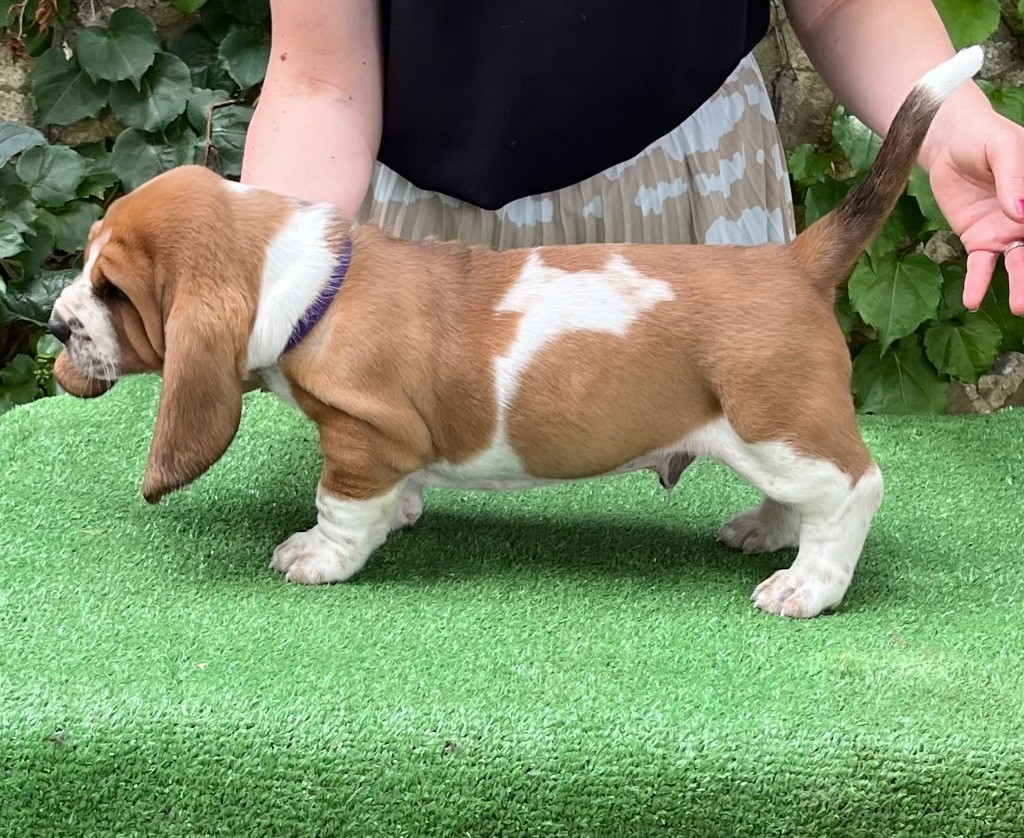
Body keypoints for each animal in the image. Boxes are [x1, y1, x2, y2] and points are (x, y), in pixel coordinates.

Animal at [49, 48, 983, 617]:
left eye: (112, 288)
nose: (55, 324)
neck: (313, 281)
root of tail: (794, 261)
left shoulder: (360, 439)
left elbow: (339, 508)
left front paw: (316, 557)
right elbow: (389, 496)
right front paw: (402, 514)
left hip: (776, 425)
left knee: (854, 490)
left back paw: (807, 585)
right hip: (777, 438)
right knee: (807, 496)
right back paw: (765, 532)